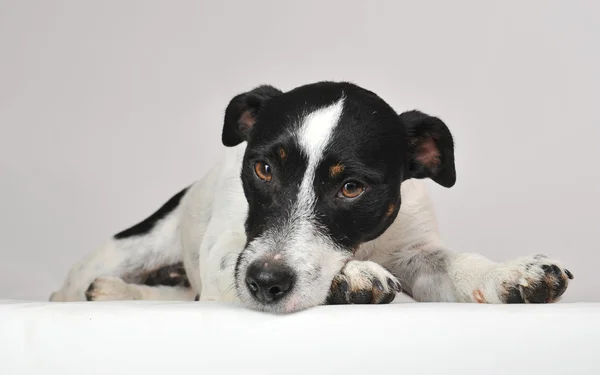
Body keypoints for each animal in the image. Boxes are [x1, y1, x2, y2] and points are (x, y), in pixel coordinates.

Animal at [50, 82, 572, 314]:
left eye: (351, 187)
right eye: (263, 168)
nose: (266, 282)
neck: (364, 245)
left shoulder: (417, 253)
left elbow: (459, 264)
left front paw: (510, 273)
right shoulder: (229, 251)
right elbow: (231, 263)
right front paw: (350, 277)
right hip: (128, 250)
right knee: (77, 286)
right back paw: (102, 290)